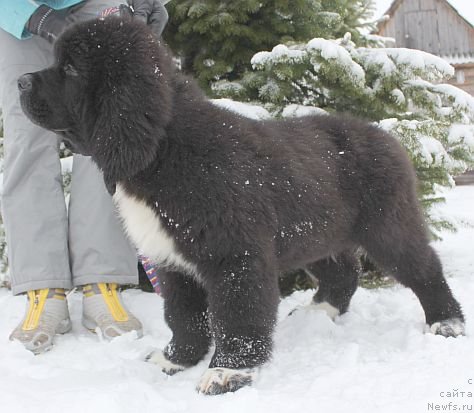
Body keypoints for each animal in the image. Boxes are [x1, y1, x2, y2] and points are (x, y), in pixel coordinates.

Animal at [19, 17, 462, 394]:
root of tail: (386, 135)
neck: (165, 150)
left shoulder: (235, 256)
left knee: (423, 267)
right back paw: (320, 312)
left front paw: (227, 372)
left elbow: (236, 316)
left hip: (387, 224)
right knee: (343, 271)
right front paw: (174, 361)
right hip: (316, 231)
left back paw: (446, 322)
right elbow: (183, 316)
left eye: (71, 69)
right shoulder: (171, 259)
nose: (20, 81)